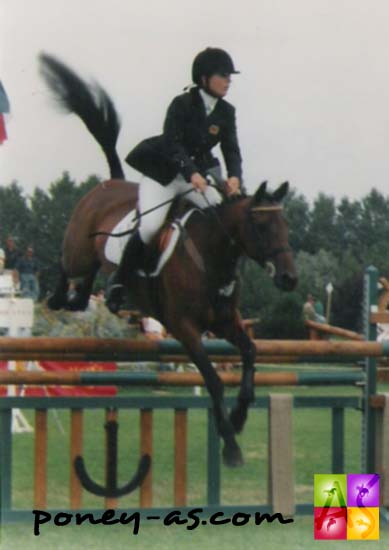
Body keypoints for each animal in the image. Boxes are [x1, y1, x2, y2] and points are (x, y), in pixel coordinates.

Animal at [39, 55, 296, 470]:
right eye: (260, 226)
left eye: (285, 225)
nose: (289, 278)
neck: (212, 258)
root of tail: (109, 183)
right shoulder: (184, 327)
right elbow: (212, 378)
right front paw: (231, 444)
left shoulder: (225, 321)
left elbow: (250, 354)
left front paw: (240, 415)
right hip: (78, 246)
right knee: (68, 266)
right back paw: (60, 299)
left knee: (91, 275)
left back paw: (86, 299)